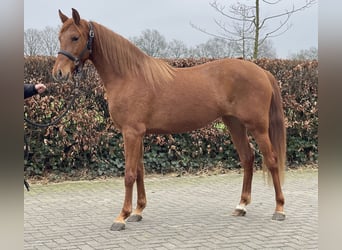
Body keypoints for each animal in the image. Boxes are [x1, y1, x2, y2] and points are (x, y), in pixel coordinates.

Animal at [52, 8, 288, 231]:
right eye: (60, 37)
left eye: (75, 37)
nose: (58, 73)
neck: (129, 77)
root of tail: (262, 72)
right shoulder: (137, 134)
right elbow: (140, 171)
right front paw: (138, 211)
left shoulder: (131, 133)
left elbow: (129, 174)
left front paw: (121, 217)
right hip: (234, 124)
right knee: (247, 158)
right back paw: (241, 206)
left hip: (258, 127)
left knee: (271, 160)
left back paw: (279, 209)